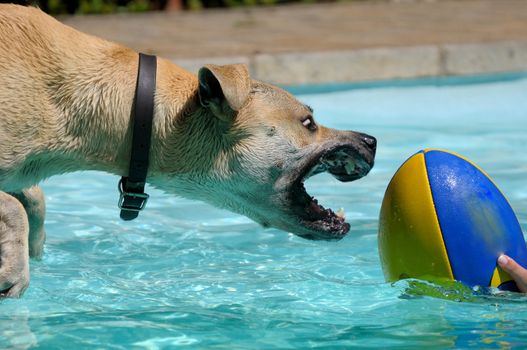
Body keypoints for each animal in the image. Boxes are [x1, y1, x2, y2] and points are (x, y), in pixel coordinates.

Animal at [0, 4, 378, 296]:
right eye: (308, 123)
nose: (372, 141)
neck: (136, 114)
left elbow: (32, 198)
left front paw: (32, 249)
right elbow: (17, 207)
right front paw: (15, 271)